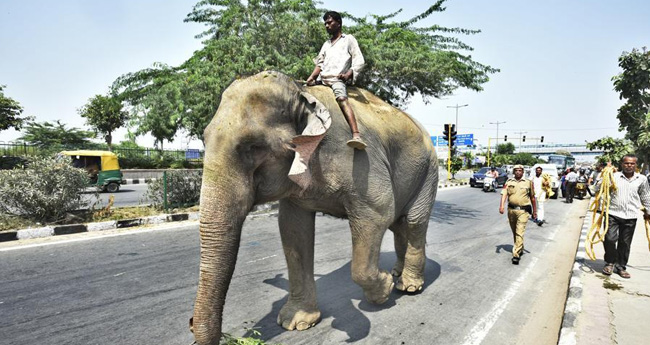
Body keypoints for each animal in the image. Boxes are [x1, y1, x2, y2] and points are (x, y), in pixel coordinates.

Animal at [190, 70, 438, 344]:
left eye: (254, 146)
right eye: (203, 140)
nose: (190, 326)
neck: (301, 94)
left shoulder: (361, 160)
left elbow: (377, 212)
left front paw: (383, 291)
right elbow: (293, 229)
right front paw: (297, 323)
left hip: (429, 170)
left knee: (413, 222)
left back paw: (409, 286)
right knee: (399, 224)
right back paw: (397, 273)